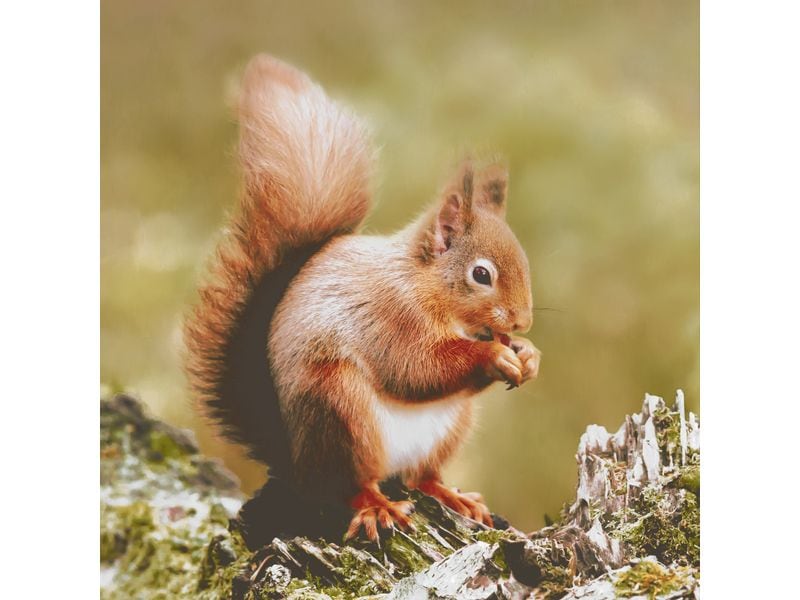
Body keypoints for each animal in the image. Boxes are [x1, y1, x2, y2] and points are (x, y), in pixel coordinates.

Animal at [185, 55, 541, 543]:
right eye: (481, 274)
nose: (522, 321)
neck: (424, 285)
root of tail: (297, 464)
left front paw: (528, 355)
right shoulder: (390, 316)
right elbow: (416, 368)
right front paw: (493, 355)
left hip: (450, 425)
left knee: (421, 476)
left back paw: (455, 497)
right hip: (340, 410)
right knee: (351, 485)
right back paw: (377, 506)